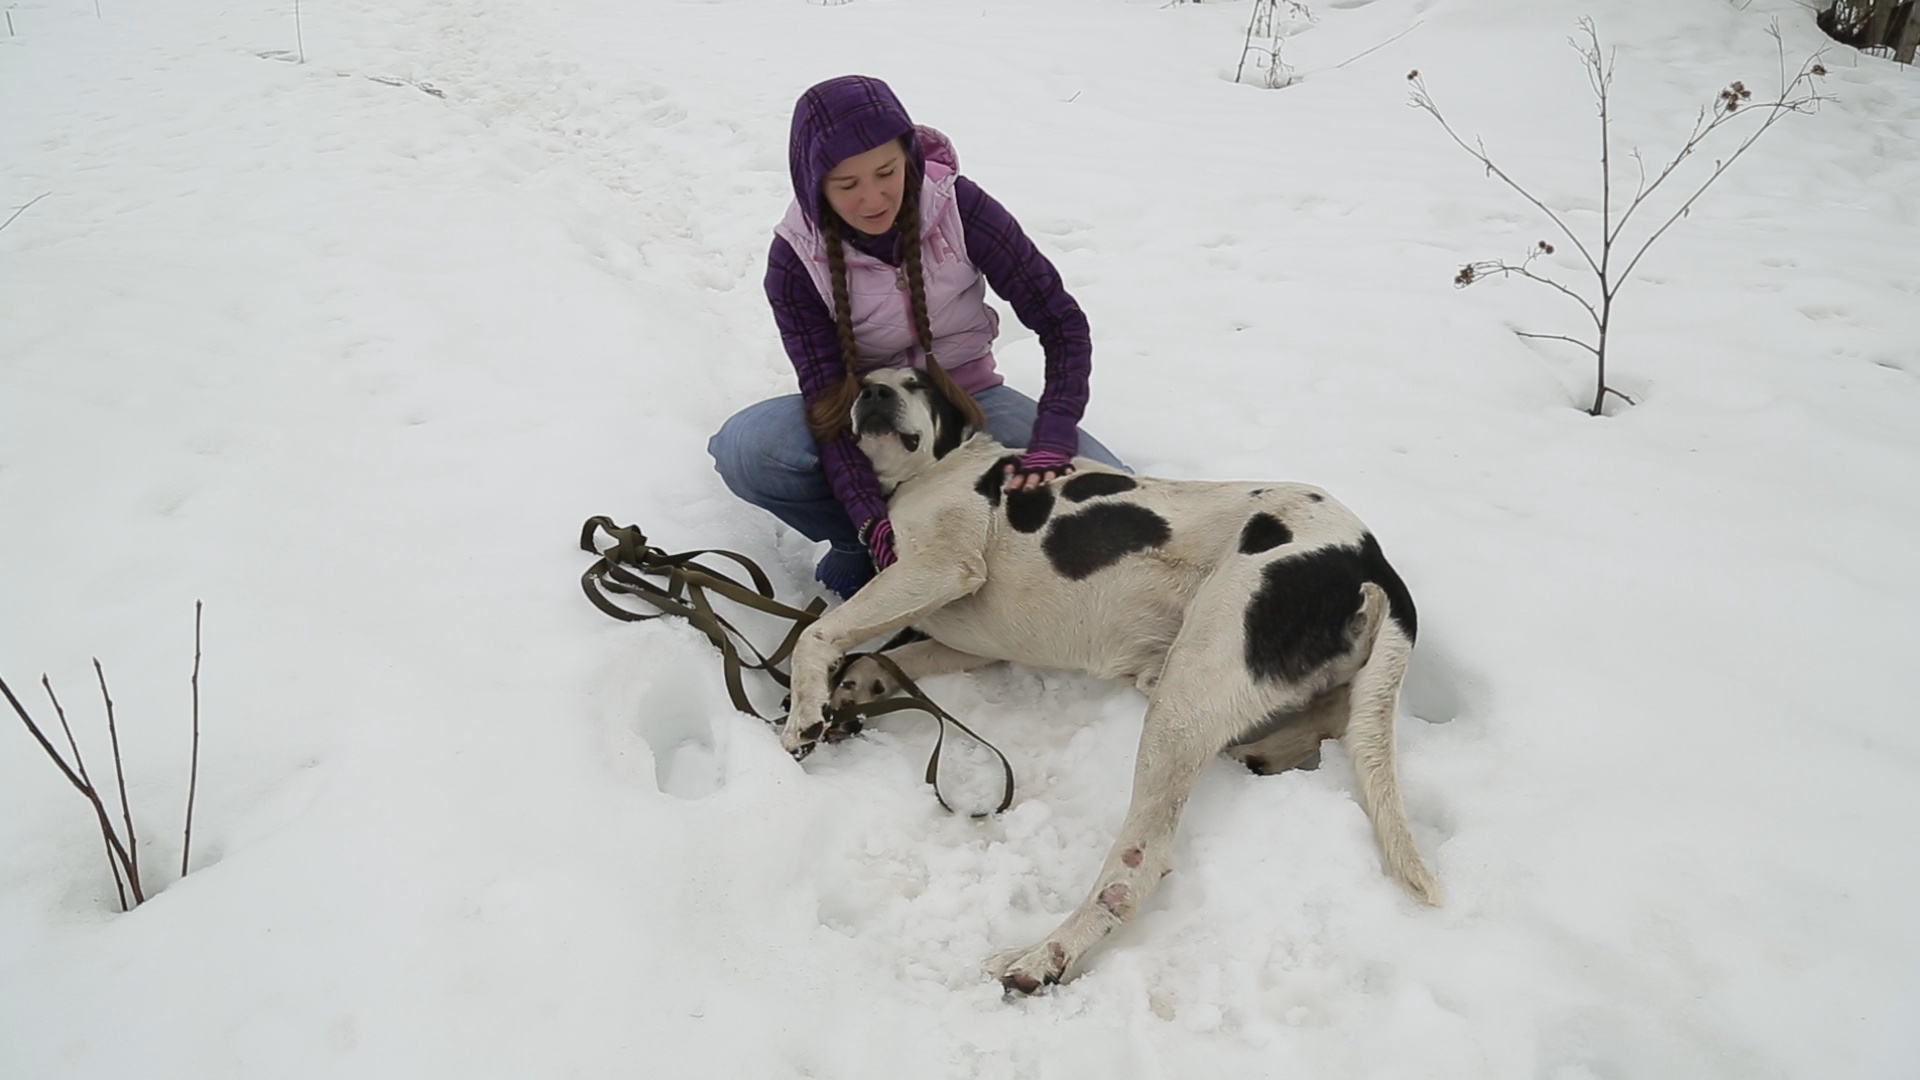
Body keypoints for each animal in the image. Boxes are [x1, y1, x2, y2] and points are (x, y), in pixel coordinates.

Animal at [779, 367, 1443, 991]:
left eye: (916, 382)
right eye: (862, 383)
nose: (875, 394)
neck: (932, 469)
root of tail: (1371, 563)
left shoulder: (941, 568)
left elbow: (819, 635)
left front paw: (804, 716)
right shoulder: (974, 644)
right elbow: (876, 657)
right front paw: (848, 693)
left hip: (1183, 697)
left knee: (1137, 864)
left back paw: (1043, 957)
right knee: (1334, 712)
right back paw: (1265, 752)